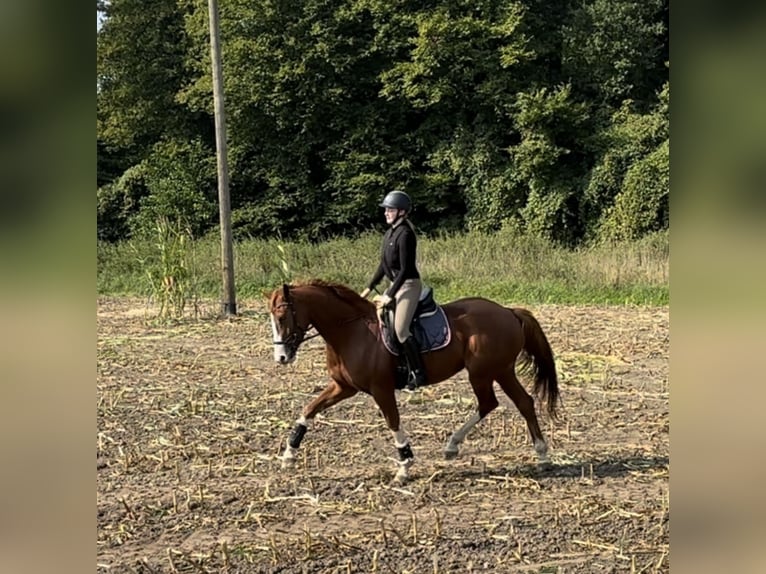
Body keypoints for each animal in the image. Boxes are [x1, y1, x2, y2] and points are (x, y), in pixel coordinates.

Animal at [270, 282, 560, 484]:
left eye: (282, 318)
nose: (281, 357)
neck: (351, 331)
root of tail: (508, 312)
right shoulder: (344, 387)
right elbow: (309, 409)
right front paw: (289, 455)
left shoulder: (381, 389)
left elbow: (393, 421)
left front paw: (404, 466)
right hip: (499, 371)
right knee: (519, 402)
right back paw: (536, 454)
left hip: (484, 372)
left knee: (493, 402)